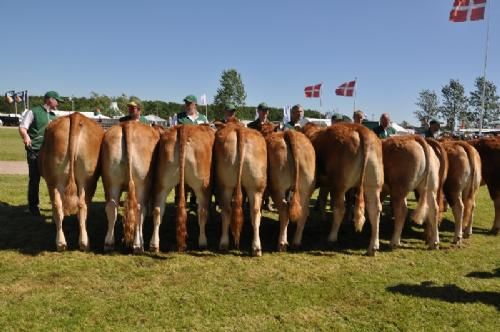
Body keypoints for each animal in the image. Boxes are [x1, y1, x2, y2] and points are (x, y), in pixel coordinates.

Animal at [39, 113, 105, 250]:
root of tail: (75, 115)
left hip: (54, 180)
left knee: (61, 205)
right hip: (86, 180)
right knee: (79, 205)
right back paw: (76, 243)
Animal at [99, 120, 158, 253]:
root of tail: (128, 124)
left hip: (111, 181)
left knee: (112, 207)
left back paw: (108, 243)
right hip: (142, 183)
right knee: (139, 209)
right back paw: (138, 245)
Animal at [151, 124, 216, 252]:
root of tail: (184, 127)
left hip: (162, 182)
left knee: (157, 210)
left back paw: (154, 244)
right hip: (203, 184)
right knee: (202, 211)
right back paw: (203, 242)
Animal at [216, 123, 270, 255]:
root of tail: (240, 130)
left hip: (226, 185)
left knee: (227, 210)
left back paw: (225, 243)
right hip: (255, 187)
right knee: (255, 212)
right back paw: (256, 248)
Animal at [302, 123, 384, 255]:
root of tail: (361, 129)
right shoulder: (326, 184)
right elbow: (323, 198)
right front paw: (323, 218)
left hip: (339, 185)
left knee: (340, 209)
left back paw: (332, 237)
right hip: (373, 185)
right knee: (375, 210)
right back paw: (373, 247)